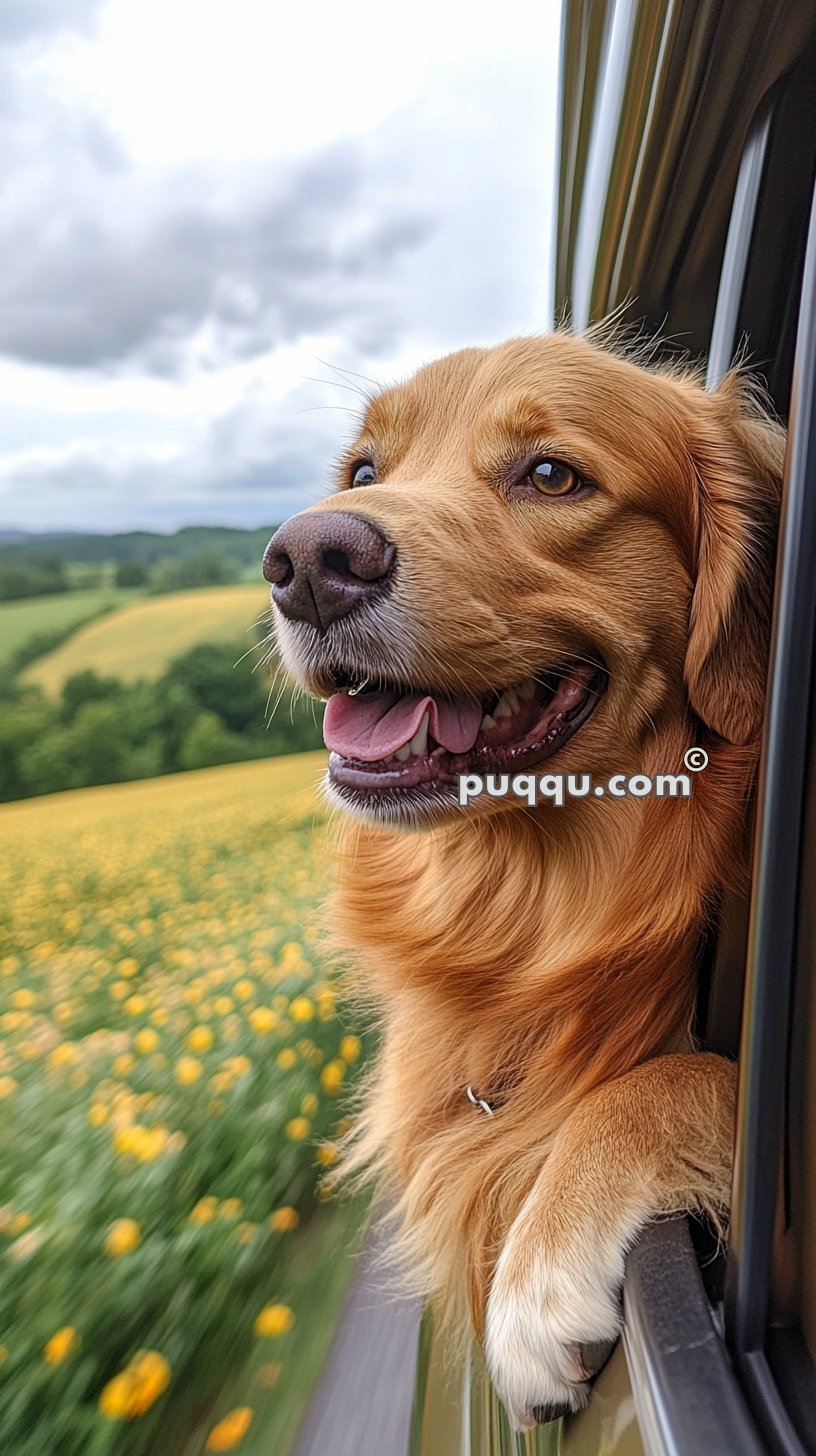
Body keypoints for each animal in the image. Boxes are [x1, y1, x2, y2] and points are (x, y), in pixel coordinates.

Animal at [260, 333, 786, 1432]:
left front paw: (539, 1272)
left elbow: (677, 1076)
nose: (309, 563)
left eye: (550, 475)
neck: (525, 908)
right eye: (363, 473)